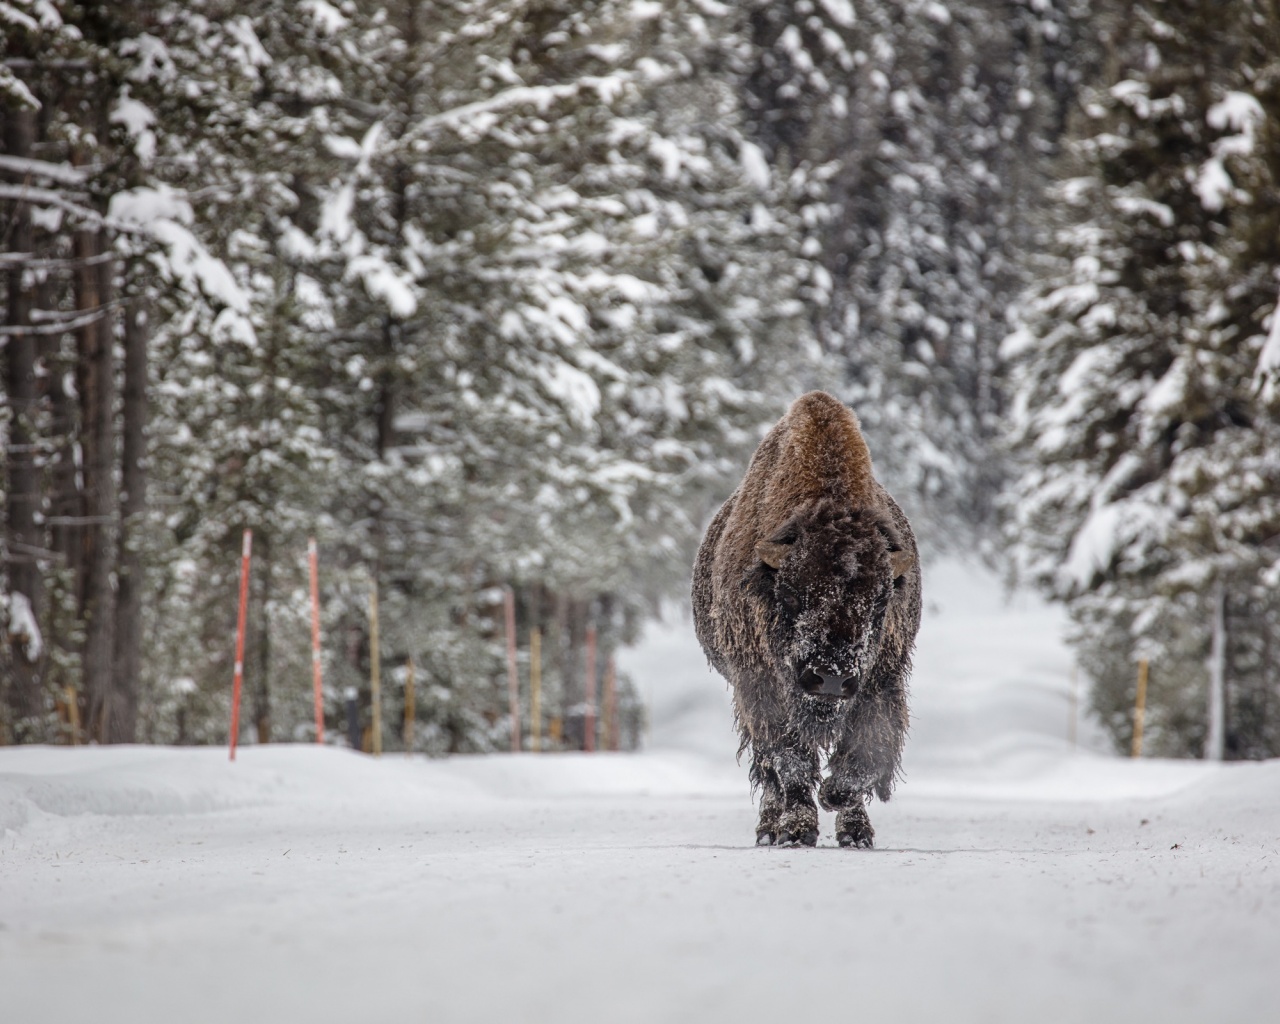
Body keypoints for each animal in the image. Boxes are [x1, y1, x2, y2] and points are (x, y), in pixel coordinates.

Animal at [691, 391, 921, 849]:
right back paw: (770, 829)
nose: (830, 678)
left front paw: (840, 805)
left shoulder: (881, 680)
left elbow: (865, 755)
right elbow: (790, 761)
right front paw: (797, 830)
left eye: (880, 602)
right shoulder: (760, 686)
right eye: (793, 595)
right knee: (769, 773)